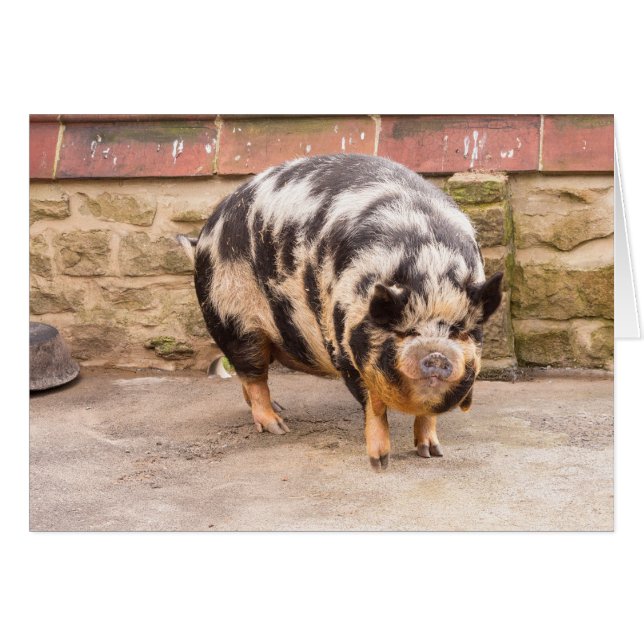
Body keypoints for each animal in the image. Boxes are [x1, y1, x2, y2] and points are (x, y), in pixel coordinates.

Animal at [186, 154, 502, 470]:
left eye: (459, 330)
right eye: (406, 331)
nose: (436, 355)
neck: (430, 269)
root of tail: (205, 235)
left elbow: (427, 414)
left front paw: (432, 453)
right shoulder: (343, 345)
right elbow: (374, 408)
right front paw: (379, 463)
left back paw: (279, 409)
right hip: (232, 317)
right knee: (252, 373)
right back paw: (277, 426)